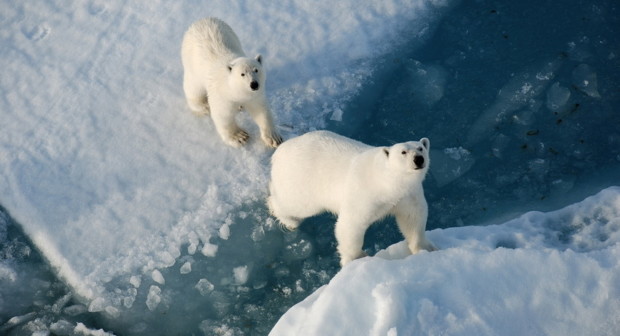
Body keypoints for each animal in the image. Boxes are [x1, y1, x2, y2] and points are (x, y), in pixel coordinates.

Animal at [180, 16, 282, 146]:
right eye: (242, 74)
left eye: (256, 70)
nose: (254, 84)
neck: (233, 90)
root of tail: (202, 20)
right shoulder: (221, 94)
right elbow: (223, 115)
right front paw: (239, 136)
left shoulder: (254, 96)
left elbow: (261, 110)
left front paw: (274, 138)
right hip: (192, 66)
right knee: (193, 88)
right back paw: (203, 106)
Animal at [266, 131, 436, 266]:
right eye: (403, 152)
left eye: (420, 148)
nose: (419, 159)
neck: (387, 181)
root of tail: (280, 151)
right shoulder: (365, 194)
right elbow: (350, 224)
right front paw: (356, 258)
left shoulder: (408, 195)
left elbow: (413, 218)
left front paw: (425, 248)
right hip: (302, 180)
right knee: (295, 204)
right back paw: (287, 218)